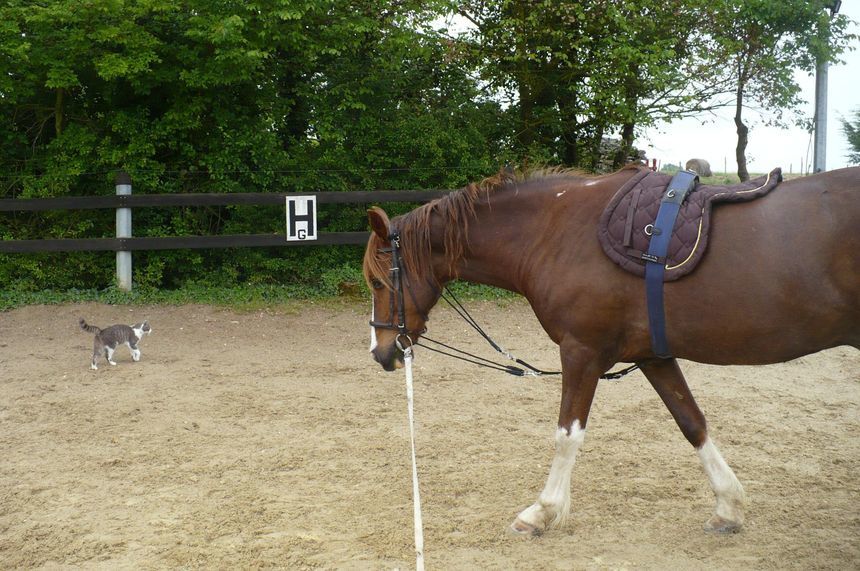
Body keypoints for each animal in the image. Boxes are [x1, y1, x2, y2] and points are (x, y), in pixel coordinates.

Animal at [362, 164, 860, 536]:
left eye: (378, 282)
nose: (381, 351)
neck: (554, 231)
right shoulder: (654, 356)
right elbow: (692, 423)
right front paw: (729, 506)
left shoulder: (581, 352)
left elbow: (567, 435)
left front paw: (542, 512)